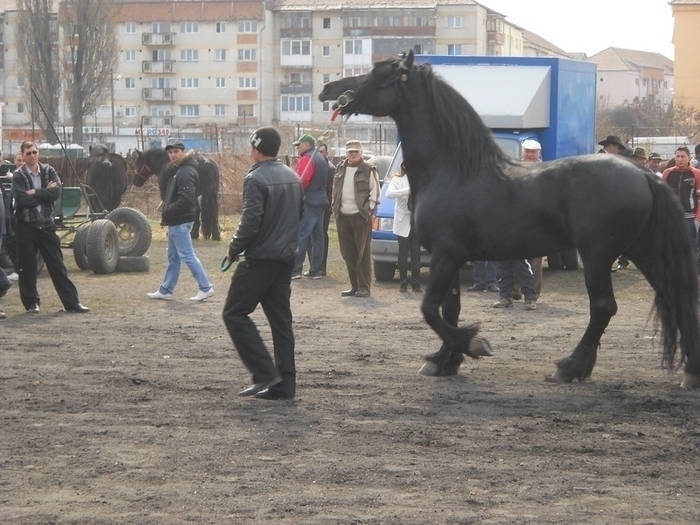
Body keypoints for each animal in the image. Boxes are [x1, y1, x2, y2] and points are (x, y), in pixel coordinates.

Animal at [318, 51, 700, 386]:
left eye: (379, 74)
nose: (329, 90)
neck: (455, 170)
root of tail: (644, 175)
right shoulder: (450, 259)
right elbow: (449, 309)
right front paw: (444, 361)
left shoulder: (446, 254)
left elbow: (430, 309)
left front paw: (472, 344)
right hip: (645, 251)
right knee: (676, 297)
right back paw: (689, 373)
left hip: (598, 255)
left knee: (603, 308)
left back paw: (569, 367)